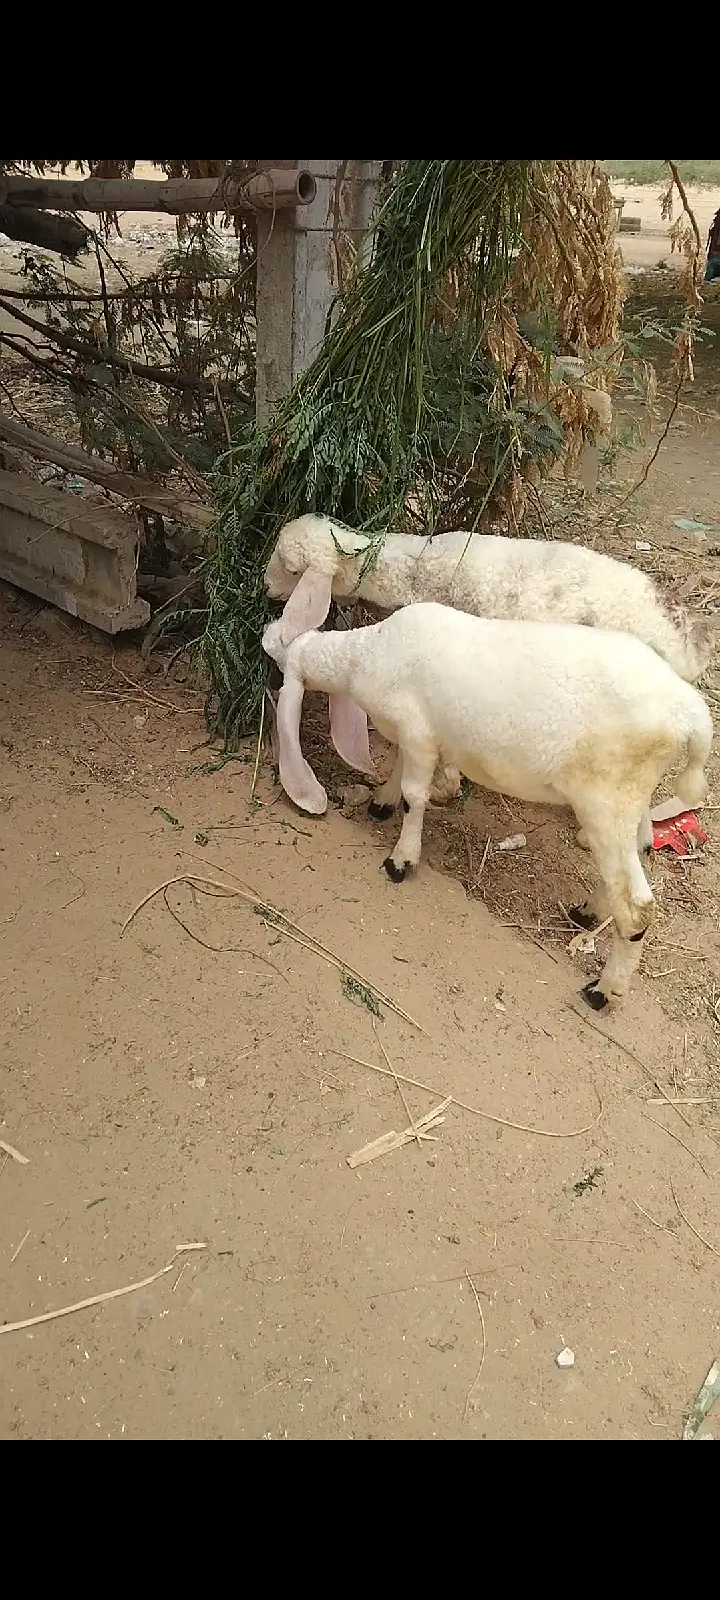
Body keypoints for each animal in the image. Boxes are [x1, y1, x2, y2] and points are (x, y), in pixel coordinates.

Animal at [262, 600, 713, 1011]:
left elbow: (414, 796)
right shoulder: (419, 739)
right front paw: (382, 801)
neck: (365, 653)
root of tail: (690, 713)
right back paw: (587, 912)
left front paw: (400, 860)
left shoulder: (418, 732)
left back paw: (603, 990)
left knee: (636, 908)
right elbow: (401, 772)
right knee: (639, 850)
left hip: (606, 799)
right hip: (631, 797)